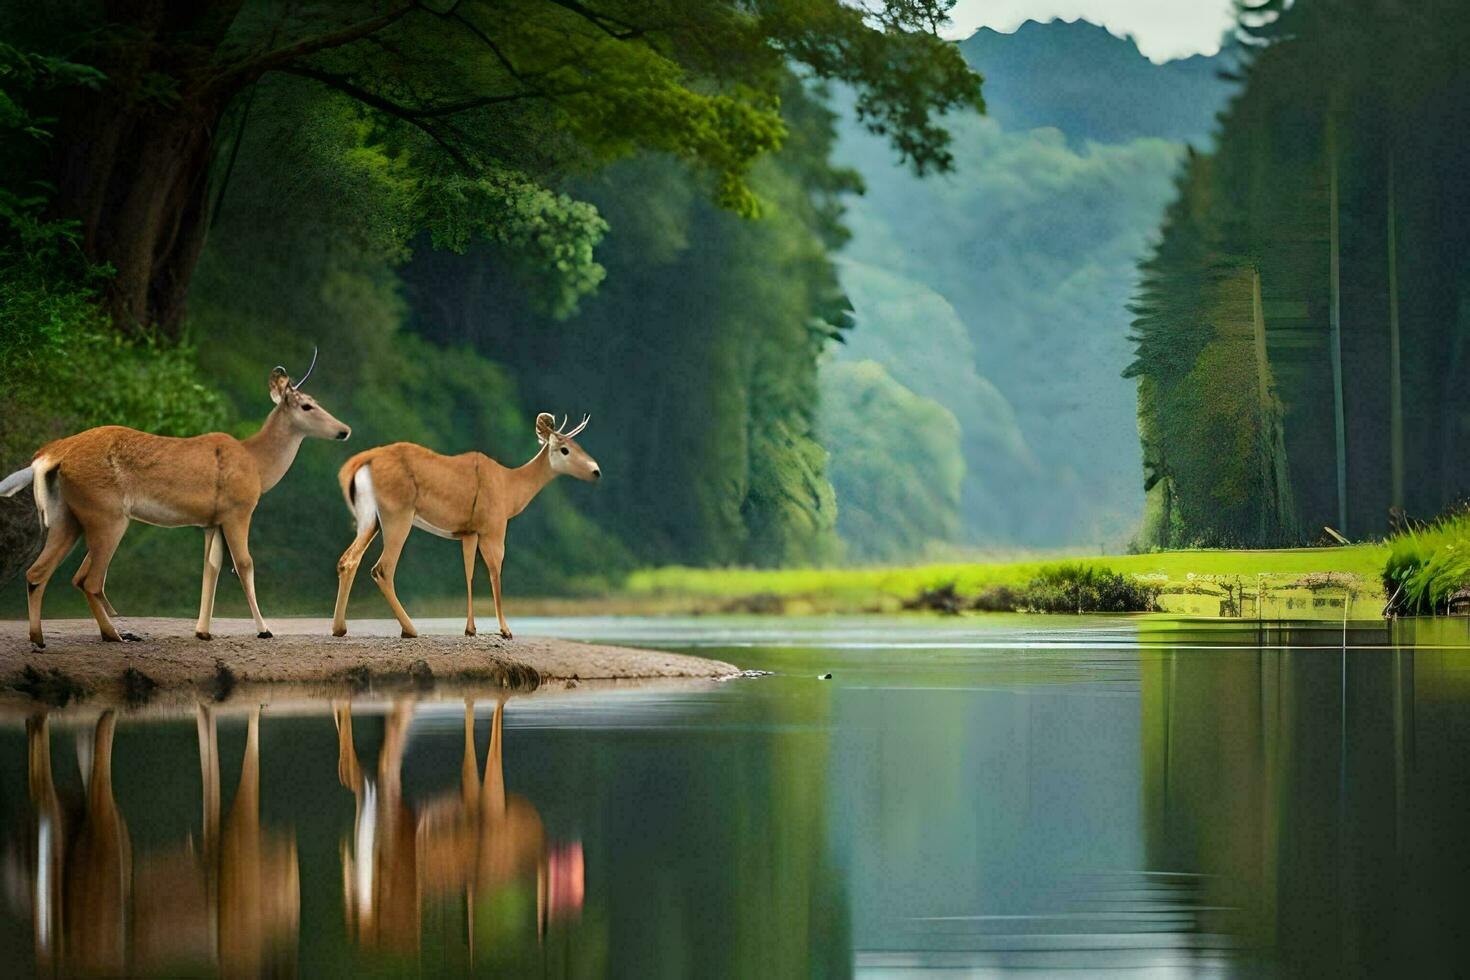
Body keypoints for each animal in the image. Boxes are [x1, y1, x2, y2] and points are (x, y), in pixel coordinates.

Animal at [0, 354, 352, 652]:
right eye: (306, 406)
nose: (344, 430)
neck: (257, 464)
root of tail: (53, 453)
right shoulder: (238, 509)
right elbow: (244, 564)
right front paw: (264, 630)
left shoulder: (211, 521)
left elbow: (211, 568)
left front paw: (203, 631)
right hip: (106, 514)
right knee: (89, 579)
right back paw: (114, 635)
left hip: (67, 515)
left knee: (39, 572)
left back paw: (42, 638)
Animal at [336, 411, 599, 640]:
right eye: (564, 449)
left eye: (578, 445)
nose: (596, 471)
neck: (509, 487)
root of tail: (361, 462)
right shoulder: (494, 528)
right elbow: (494, 572)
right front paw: (505, 630)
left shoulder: (468, 533)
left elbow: (469, 574)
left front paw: (470, 629)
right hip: (398, 516)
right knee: (382, 568)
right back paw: (409, 629)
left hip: (371, 520)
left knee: (348, 560)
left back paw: (339, 628)